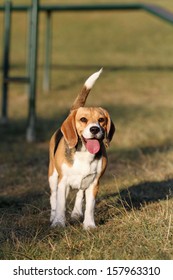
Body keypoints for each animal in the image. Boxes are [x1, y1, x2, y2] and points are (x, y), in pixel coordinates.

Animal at [48, 69, 115, 229]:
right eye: (83, 119)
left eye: (101, 120)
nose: (95, 129)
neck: (84, 153)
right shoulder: (63, 181)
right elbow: (60, 204)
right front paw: (59, 223)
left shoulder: (94, 182)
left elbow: (89, 206)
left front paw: (89, 225)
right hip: (53, 176)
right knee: (53, 197)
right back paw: (53, 217)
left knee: (79, 194)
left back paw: (76, 213)